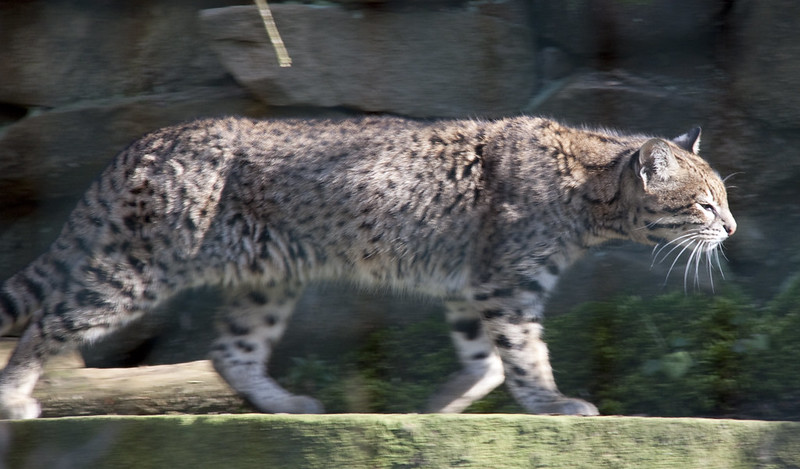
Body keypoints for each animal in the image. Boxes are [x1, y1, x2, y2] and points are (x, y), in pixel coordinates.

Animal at [0, 116, 736, 416]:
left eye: (723, 198)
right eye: (705, 201)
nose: (730, 227)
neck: (593, 202)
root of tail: (148, 139)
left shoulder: (475, 286)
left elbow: (488, 360)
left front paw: (440, 405)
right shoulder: (509, 282)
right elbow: (525, 354)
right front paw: (554, 403)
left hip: (267, 281)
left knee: (231, 350)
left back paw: (287, 404)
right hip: (137, 267)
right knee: (50, 318)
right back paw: (14, 398)